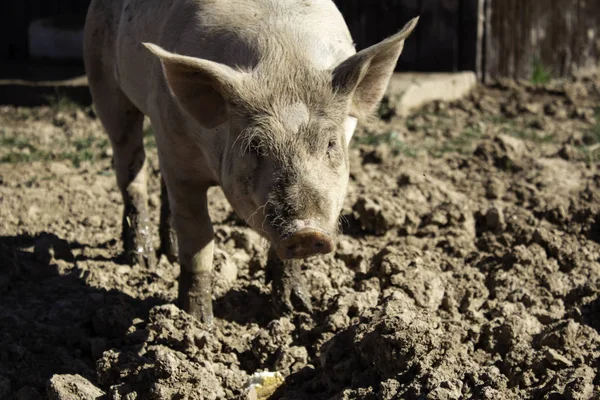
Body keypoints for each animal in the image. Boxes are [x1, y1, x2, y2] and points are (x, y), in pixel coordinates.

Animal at [84, 0, 418, 322]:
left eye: (331, 144)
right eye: (255, 146)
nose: (307, 232)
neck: (282, 60)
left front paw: (297, 310)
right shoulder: (179, 159)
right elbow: (199, 235)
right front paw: (198, 322)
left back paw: (169, 253)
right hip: (104, 80)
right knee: (131, 170)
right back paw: (142, 260)